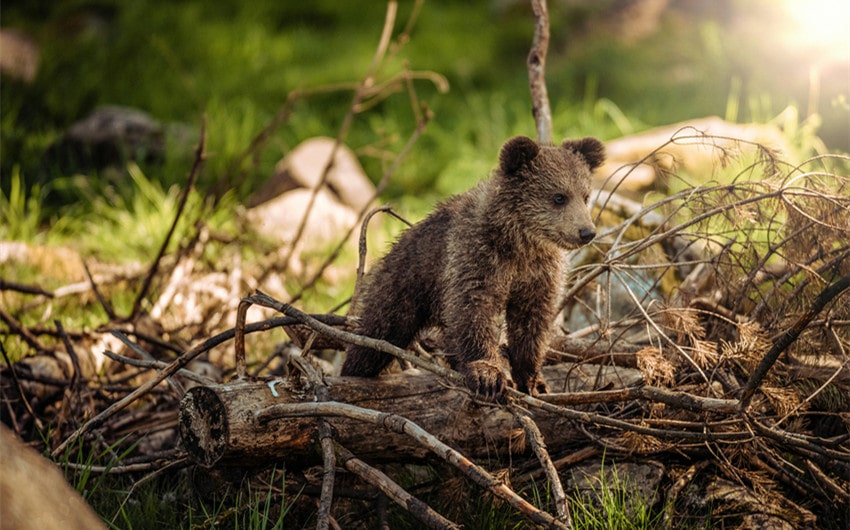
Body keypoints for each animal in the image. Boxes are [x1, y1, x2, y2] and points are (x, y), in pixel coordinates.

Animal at [340, 134, 604, 398]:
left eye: (585, 195)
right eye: (559, 196)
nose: (586, 232)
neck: (520, 243)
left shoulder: (538, 273)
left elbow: (531, 321)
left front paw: (533, 380)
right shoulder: (476, 257)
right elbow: (474, 310)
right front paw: (488, 375)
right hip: (403, 285)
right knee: (377, 334)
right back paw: (353, 371)